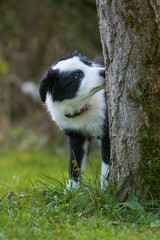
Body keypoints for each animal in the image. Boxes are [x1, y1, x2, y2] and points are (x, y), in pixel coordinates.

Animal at [39, 51, 110, 189]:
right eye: (77, 75)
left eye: (89, 64)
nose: (104, 72)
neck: (83, 106)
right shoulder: (76, 135)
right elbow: (75, 163)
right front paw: (72, 190)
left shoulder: (107, 133)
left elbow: (106, 168)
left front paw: (106, 190)